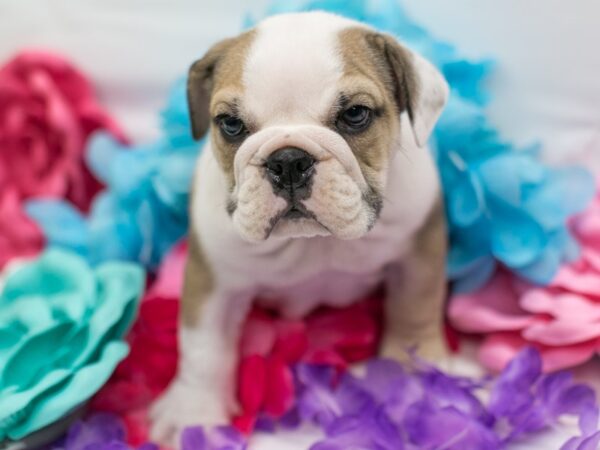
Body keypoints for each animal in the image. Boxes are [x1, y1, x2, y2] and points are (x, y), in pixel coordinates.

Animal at [151, 9, 450, 442]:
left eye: (355, 114)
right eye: (230, 124)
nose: (288, 160)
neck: (313, 242)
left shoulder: (418, 249)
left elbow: (414, 307)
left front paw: (414, 375)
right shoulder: (213, 279)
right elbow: (204, 346)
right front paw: (195, 415)